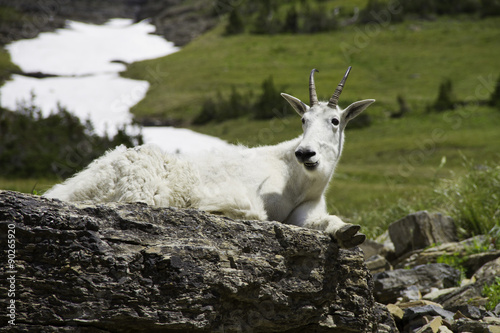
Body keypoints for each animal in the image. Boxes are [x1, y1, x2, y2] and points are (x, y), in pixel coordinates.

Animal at [45, 67, 376, 248]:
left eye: (335, 121)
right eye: (303, 120)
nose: (305, 153)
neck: (296, 179)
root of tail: (72, 187)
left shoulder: (304, 211)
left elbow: (322, 222)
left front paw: (347, 233)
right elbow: (253, 213)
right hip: (139, 185)